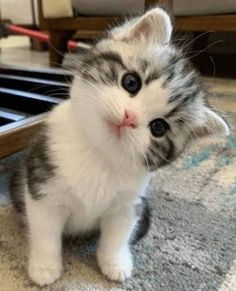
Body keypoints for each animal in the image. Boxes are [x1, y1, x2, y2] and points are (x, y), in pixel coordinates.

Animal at [10, 7, 230, 288]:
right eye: (131, 82)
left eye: (159, 127)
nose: (129, 118)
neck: (100, 155)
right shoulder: (42, 183)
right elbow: (44, 231)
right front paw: (44, 266)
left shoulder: (129, 202)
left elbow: (118, 235)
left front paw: (115, 262)